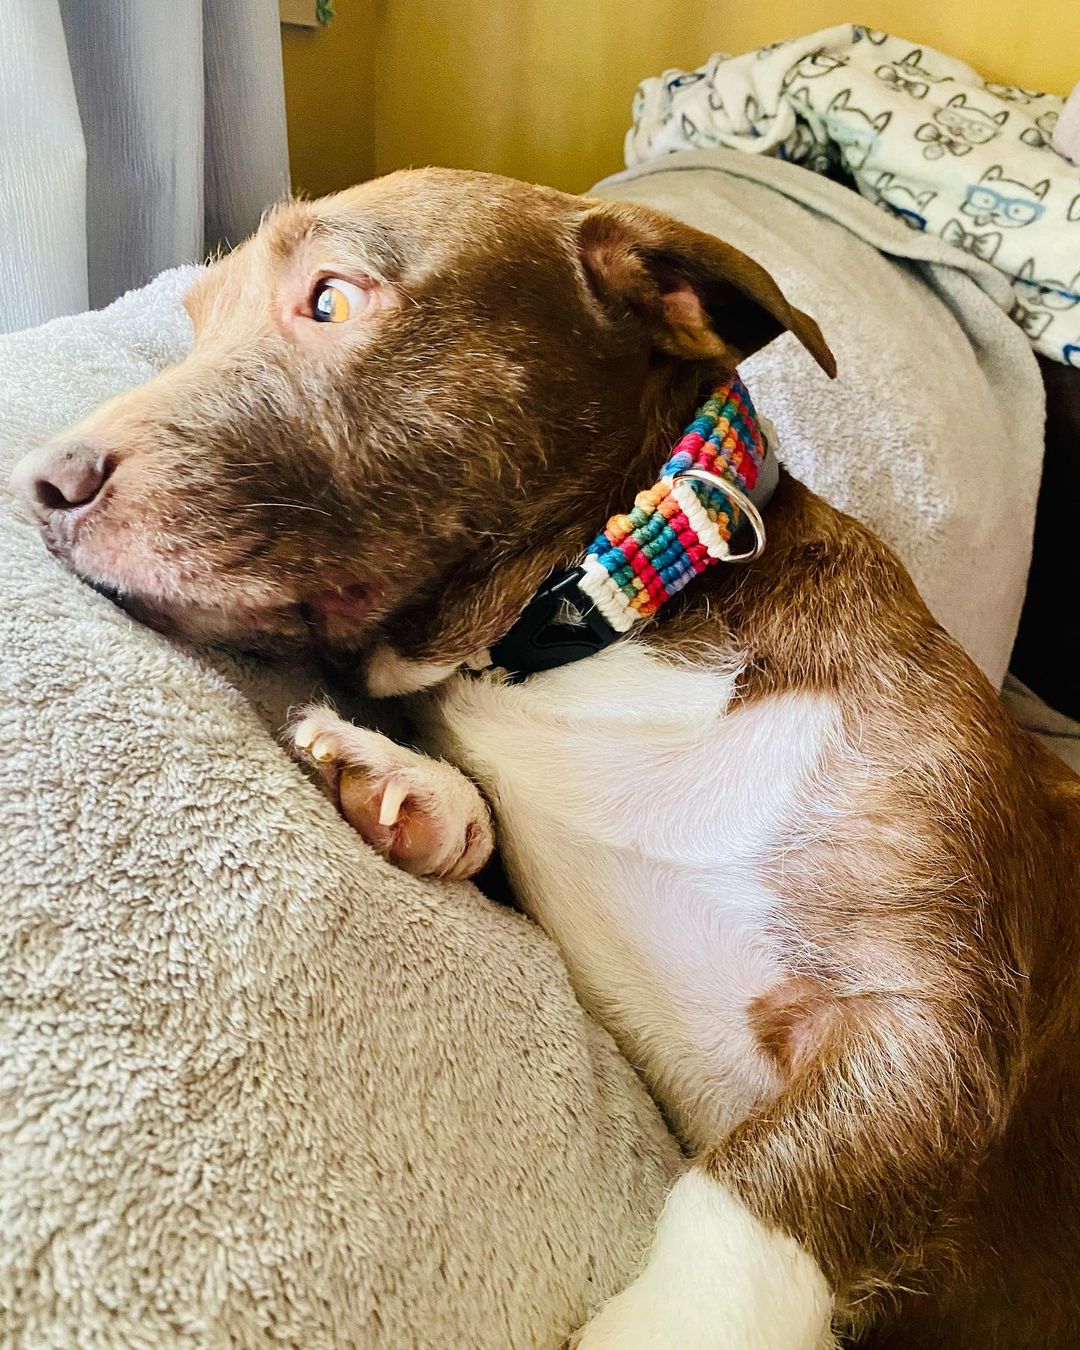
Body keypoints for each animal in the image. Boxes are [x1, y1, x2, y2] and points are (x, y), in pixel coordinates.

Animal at [8, 171, 1080, 1350]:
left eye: (331, 298)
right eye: (197, 321)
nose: (41, 483)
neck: (592, 632)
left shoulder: (930, 1021)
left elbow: (744, 1201)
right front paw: (410, 791)